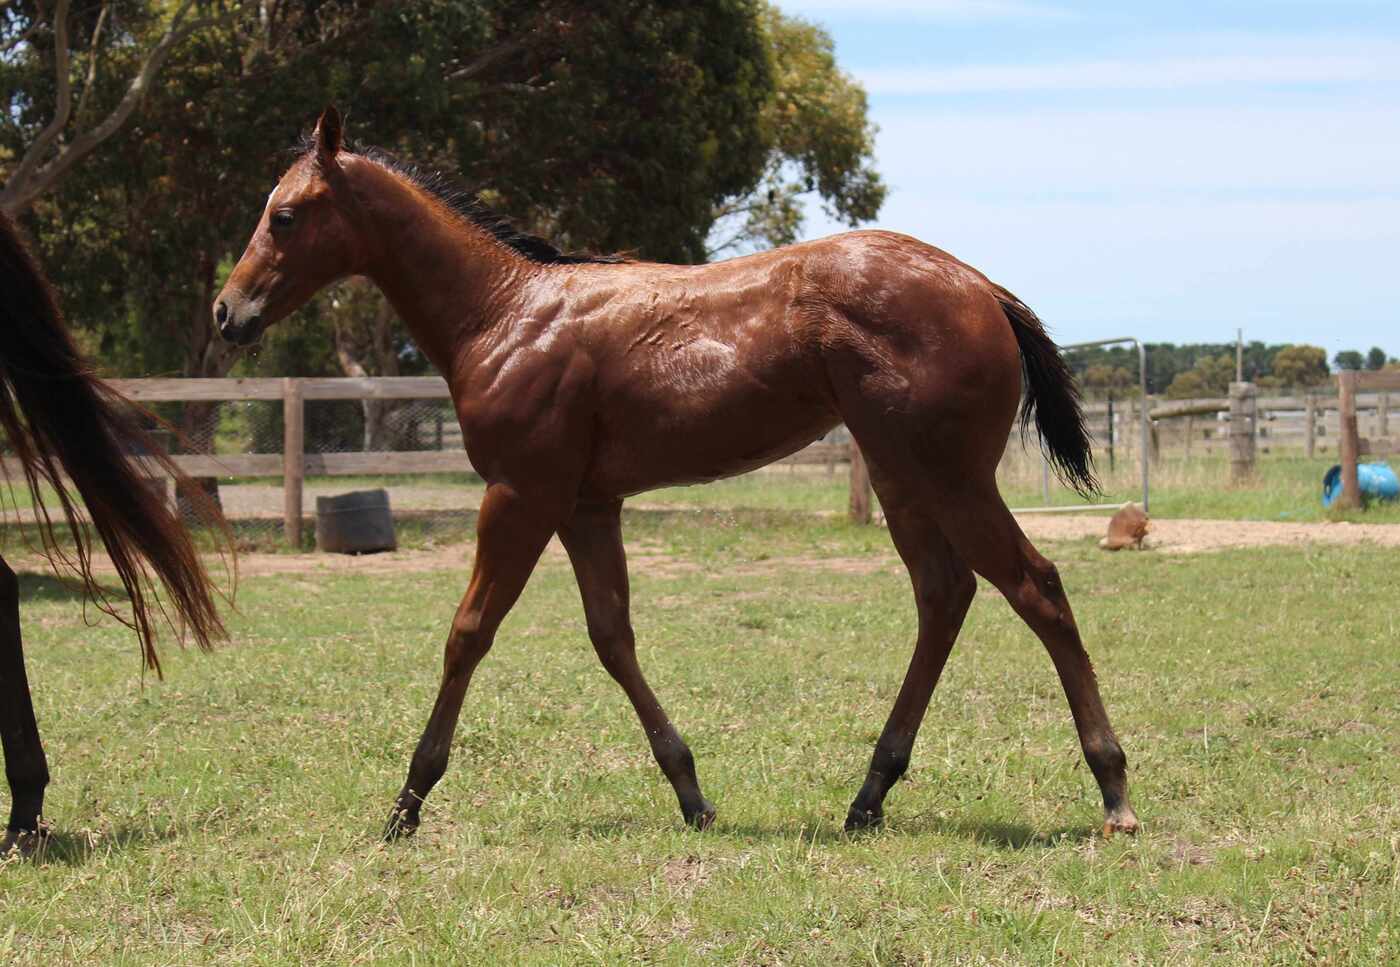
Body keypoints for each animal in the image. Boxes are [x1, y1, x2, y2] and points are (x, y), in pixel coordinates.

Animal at [215, 107, 1139, 841]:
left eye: (285, 215)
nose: (228, 312)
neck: (505, 311)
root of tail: (981, 286)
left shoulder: (520, 495)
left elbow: (468, 631)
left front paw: (406, 803)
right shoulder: (587, 505)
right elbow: (612, 635)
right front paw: (692, 793)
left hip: (949, 476)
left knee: (1036, 587)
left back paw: (1113, 790)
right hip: (901, 476)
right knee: (945, 596)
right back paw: (868, 795)